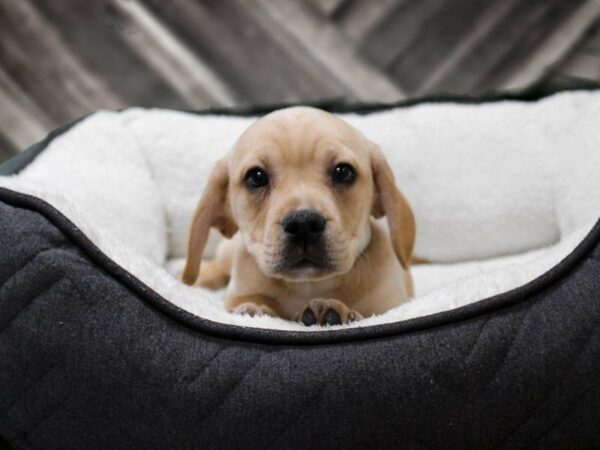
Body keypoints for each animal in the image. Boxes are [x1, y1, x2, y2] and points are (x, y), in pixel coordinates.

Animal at [180, 107, 414, 326]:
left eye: (343, 172)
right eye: (256, 177)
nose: (303, 225)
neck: (308, 286)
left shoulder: (389, 305)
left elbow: (368, 313)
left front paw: (336, 310)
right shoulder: (238, 292)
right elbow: (252, 299)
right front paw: (255, 308)